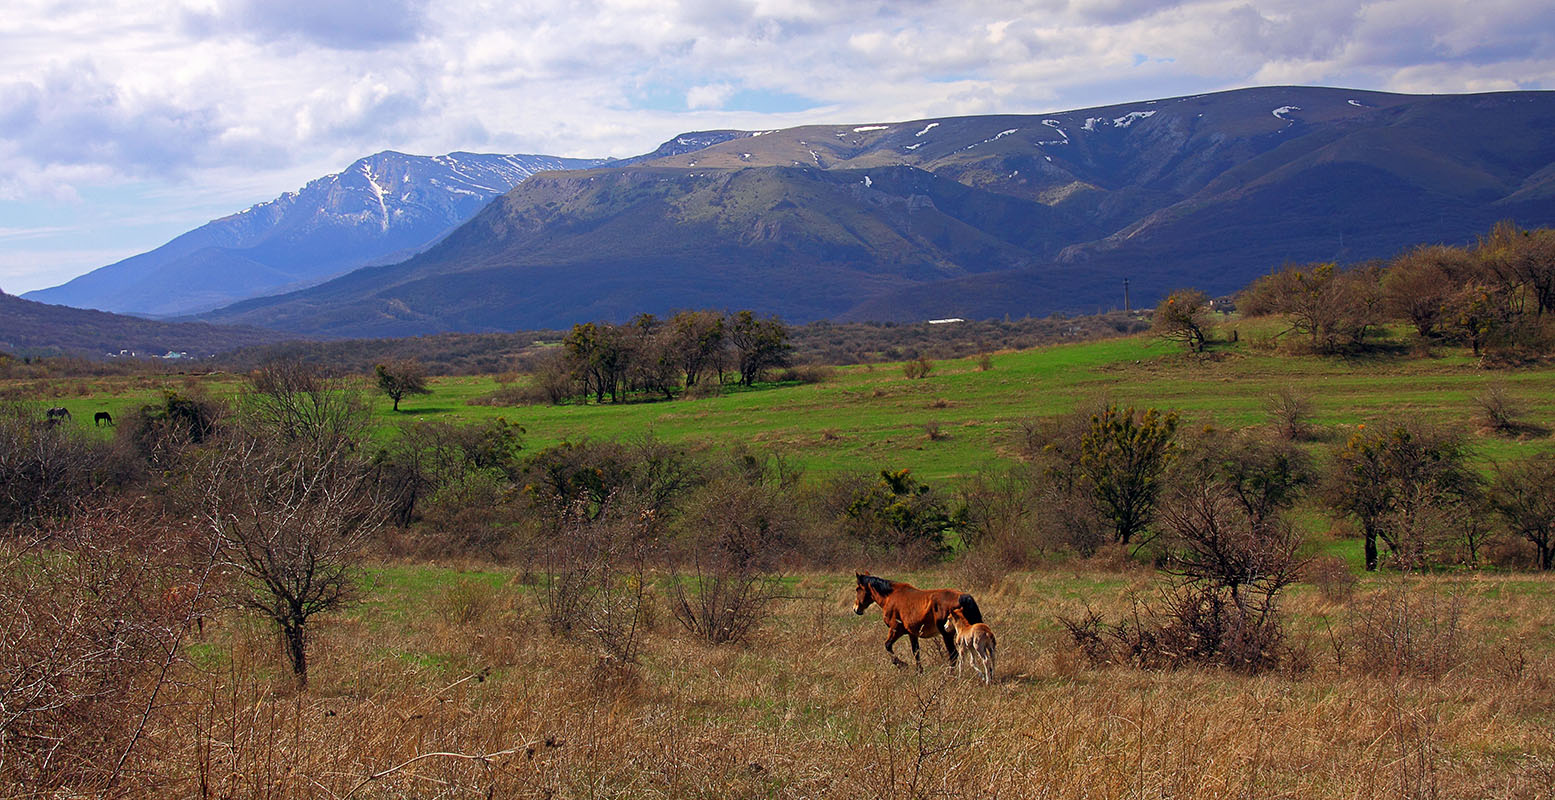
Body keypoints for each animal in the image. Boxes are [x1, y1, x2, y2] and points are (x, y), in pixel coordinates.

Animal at [852, 569, 982, 669]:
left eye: (857, 589)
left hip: (947, 634)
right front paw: (919, 672)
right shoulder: (912, 634)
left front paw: (902, 665)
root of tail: (963, 597)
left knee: (953, 655)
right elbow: (916, 652)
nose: (855, 609)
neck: (890, 596)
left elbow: (888, 646)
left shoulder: (896, 629)